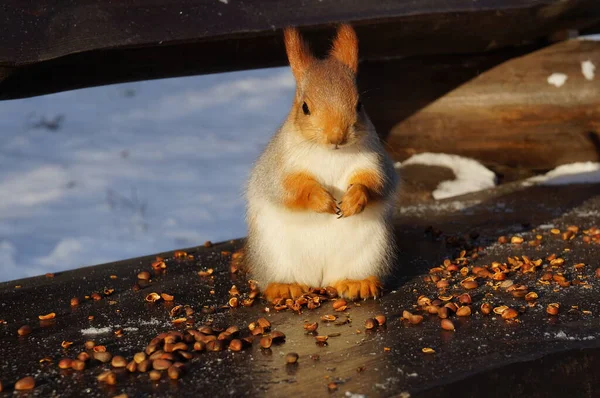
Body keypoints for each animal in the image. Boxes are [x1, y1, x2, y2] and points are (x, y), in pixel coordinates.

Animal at [244, 23, 398, 300]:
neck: (332, 154)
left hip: (372, 250)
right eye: (305, 107)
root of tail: (320, 279)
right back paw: (285, 287)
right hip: (273, 255)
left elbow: (376, 183)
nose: (337, 136)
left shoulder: (374, 162)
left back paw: (357, 283)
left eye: (359, 105)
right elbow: (288, 189)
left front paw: (354, 199)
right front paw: (320, 200)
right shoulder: (279, 167)